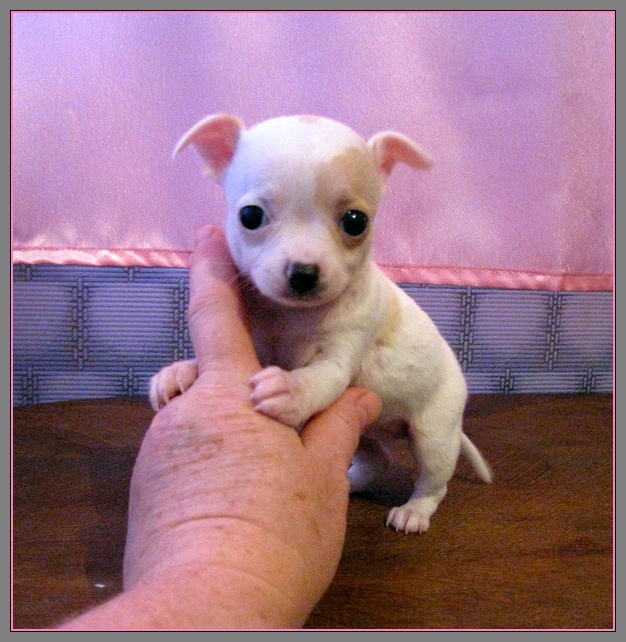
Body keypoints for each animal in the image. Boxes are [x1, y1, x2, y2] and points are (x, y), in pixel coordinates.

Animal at [150, 114, 492, 534]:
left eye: (356, 222)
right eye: (250, 216)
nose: (303, 272)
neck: (292, 316)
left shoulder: (338, 360)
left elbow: (317, 377)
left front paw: (290, 390)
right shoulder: (259, 343)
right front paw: (181, 372)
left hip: (434, 433)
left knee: (433, 480)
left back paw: (414, 511)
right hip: (370, 434)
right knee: (378, 460)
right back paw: (350, 481)